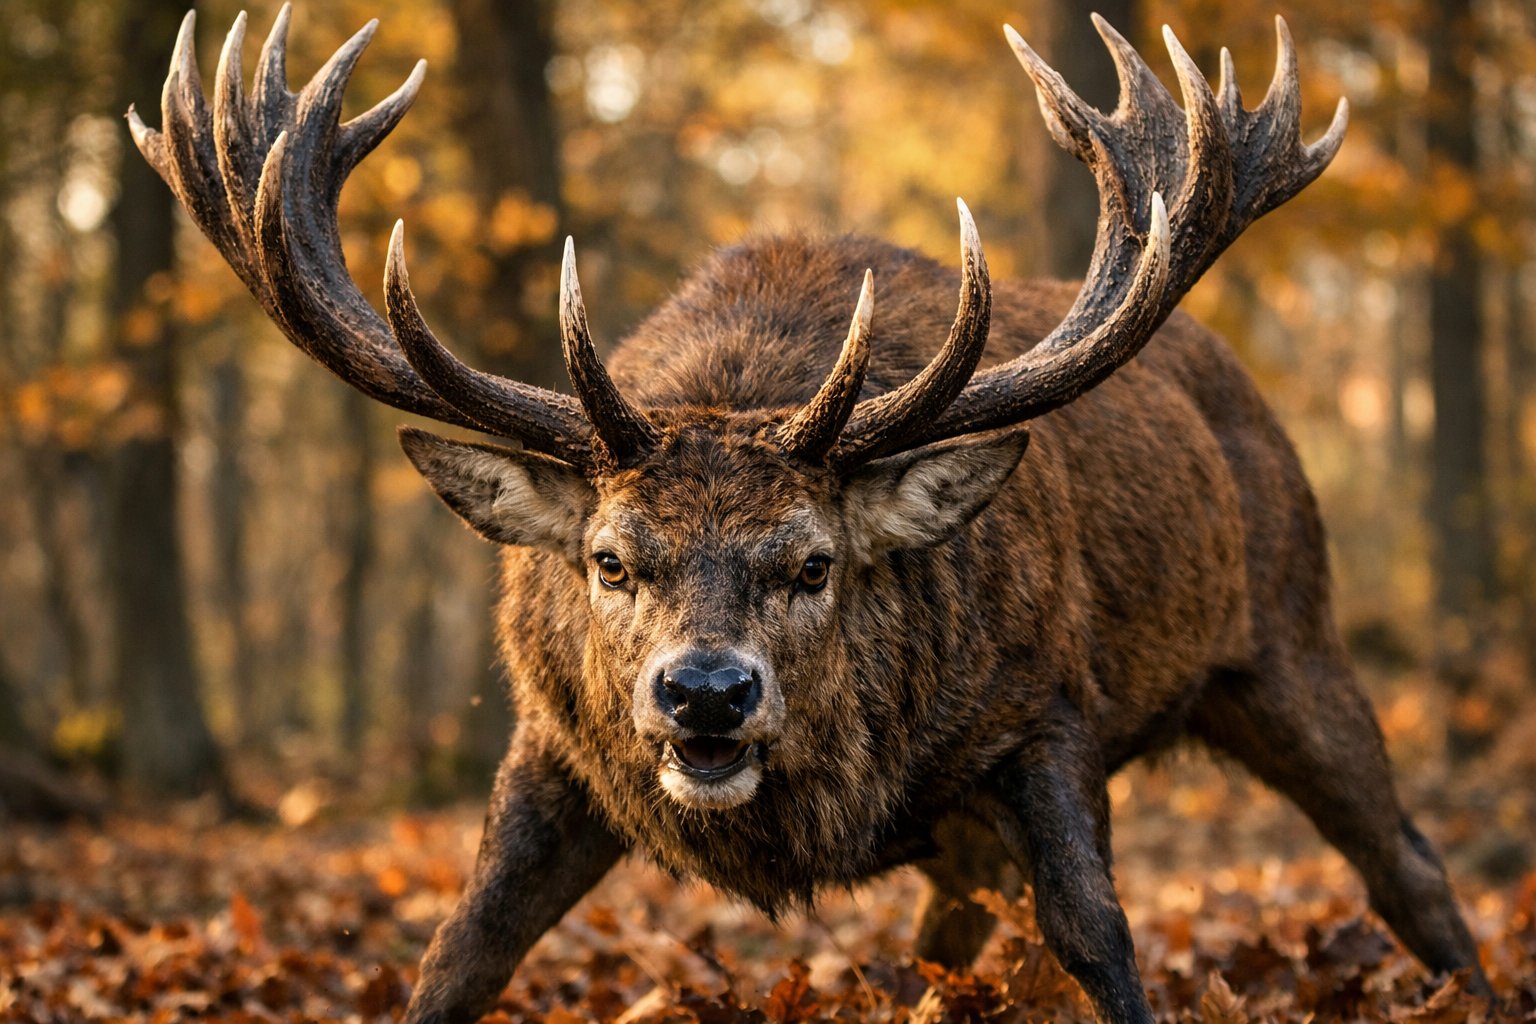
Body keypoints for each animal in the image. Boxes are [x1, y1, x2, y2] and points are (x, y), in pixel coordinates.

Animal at [130, 7, 1490, 1023]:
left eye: (814, 563)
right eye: (610, 560)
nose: (706, 693)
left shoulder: (1046, 704)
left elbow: (1099, 934)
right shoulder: (554, 741)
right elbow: (458, 951)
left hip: (1292, 634)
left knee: (1410, 863)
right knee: (955, 930)